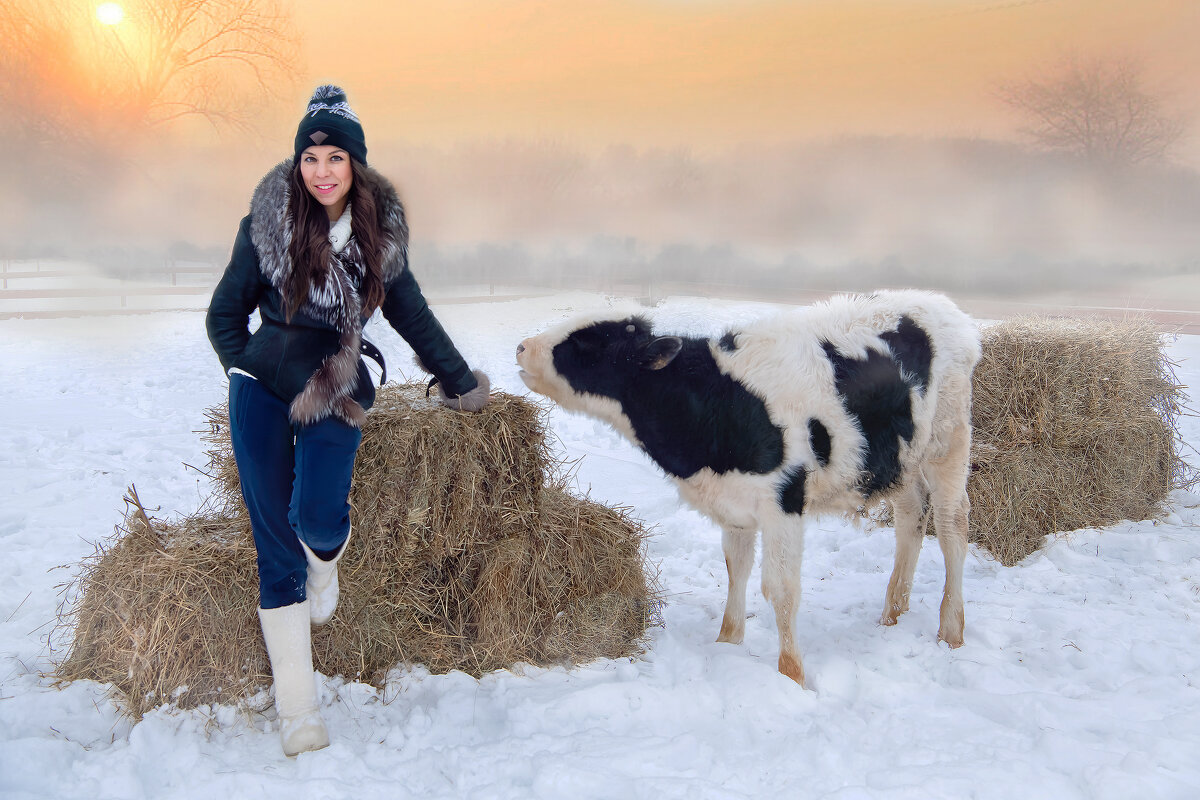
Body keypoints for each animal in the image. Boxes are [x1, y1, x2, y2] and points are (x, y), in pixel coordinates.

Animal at [516, 291, 984, 686]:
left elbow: (780, 589)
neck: (715, 399)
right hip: (903, 460)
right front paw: (728, 642)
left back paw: (951, 630)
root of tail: (941, 305)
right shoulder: (734, 504)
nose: (521, 347)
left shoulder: (784, 501)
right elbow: (735, 569)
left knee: (952, 527)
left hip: (948, 442)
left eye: (587, 344)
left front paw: (792, 674)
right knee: (911, 517)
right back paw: (893, 613)